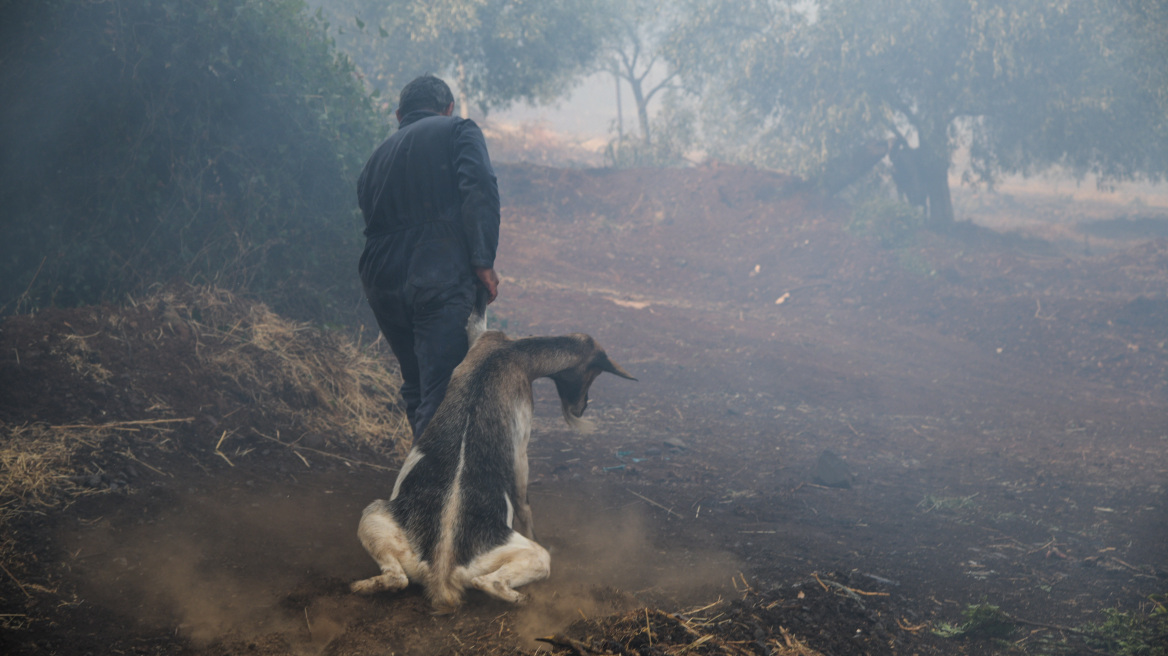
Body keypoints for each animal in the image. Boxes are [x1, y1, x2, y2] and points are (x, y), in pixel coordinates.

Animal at [348, 329, 635, 611]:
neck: (509, 352)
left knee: (397, 578)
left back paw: (359, 587)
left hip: (375, 517)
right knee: (490, 580)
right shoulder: (520, 445)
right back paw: (522, 599)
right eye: (593, 373)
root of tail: (442, 570)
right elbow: (522, 499)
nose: (582, 407)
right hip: (519, 554)